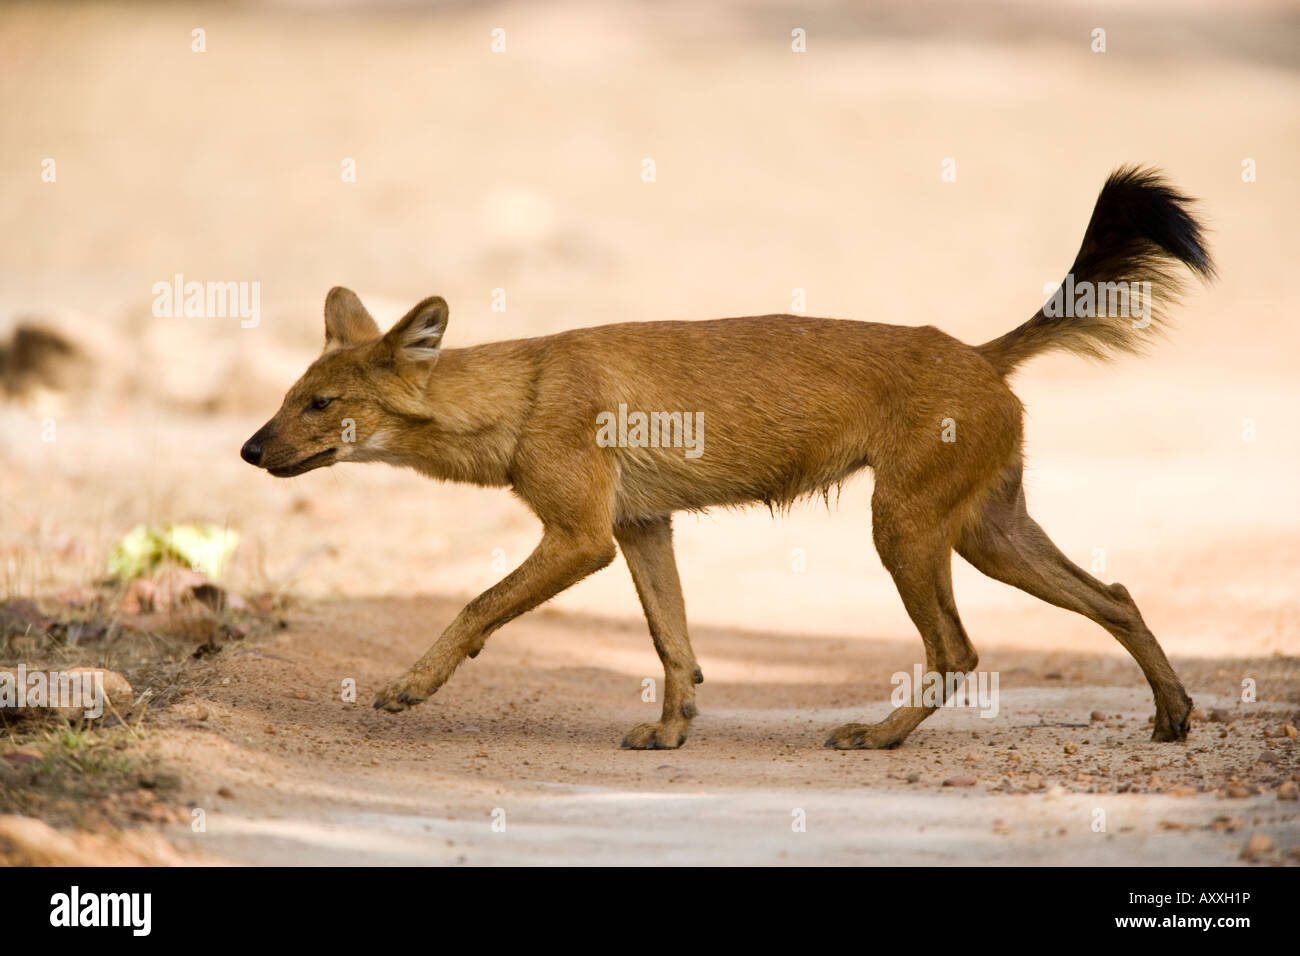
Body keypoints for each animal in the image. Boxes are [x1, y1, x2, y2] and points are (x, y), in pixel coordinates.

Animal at [245, 167, 1216, 749]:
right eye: (286, 396)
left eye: (320, 405)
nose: (249, 448)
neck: (520, 393)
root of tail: (979, 352)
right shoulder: (641, 527)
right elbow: (672, 638)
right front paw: (671, 731)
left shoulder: (580, 537)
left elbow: (477, 605)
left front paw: (409, 687)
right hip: (988, 533)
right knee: (1114, 594)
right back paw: (1173, 715)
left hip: (903, 528)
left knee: (959, 647)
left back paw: (877, 737)